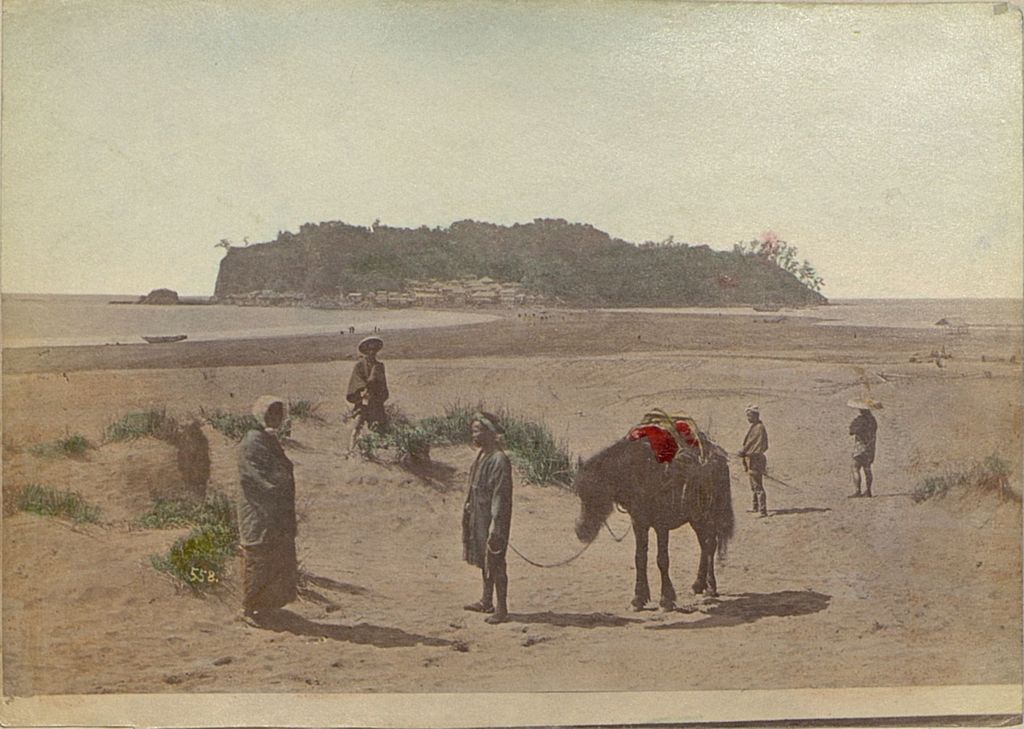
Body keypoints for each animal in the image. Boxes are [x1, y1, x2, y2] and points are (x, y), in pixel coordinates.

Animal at [573, 438, 733, 610]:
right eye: (580, 493)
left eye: (596, 493)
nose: (581, 531)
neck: (642, 474)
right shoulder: (639, 524)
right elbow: (640, 558)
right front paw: (639, 598)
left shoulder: (661, 526)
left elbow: (662, 560)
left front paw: (666, 599)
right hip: (695, 519)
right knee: (705, 545)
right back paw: (698, 585)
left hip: (708, 516)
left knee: (710, 545)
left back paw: (710, 587)